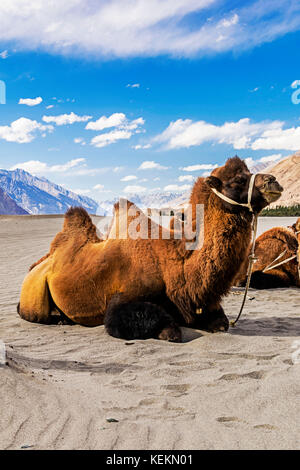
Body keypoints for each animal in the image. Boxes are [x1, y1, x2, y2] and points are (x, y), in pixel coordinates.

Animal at [17, 158, 282, 342]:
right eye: (238, 180)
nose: (273, 181)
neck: (174, 263)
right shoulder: (120, 301)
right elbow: (162, 326)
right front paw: (169, 330)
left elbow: (221, 322)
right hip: (33, 296)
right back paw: (58, 319)